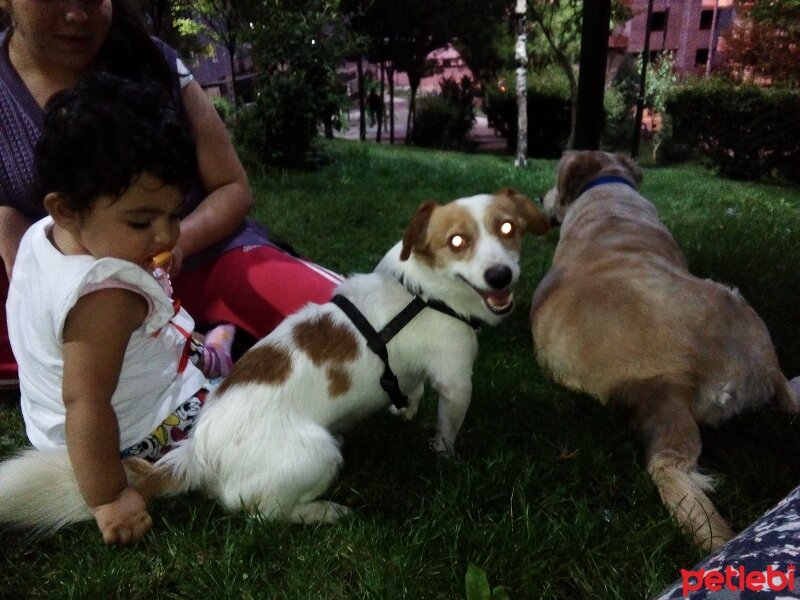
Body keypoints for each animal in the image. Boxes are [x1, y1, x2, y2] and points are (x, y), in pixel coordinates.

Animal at [0, 188, 552, 528]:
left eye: (509, 230)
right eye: (457, 242)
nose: (501, 276)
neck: (422, 291)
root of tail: (194, 455)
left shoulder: (421, 372)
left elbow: (411, 390)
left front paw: (406, 409)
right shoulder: (457, 380)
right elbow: (449, 427)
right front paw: (445, 453)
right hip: (320, 453)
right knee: (264, 514)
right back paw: (322, 512)